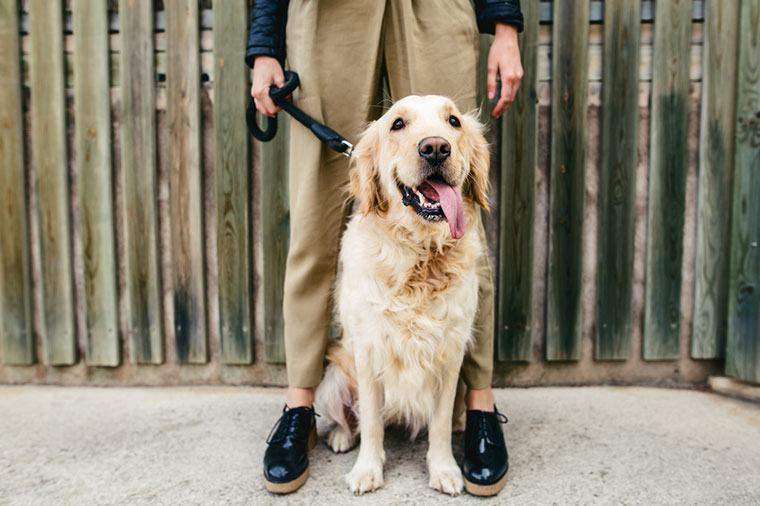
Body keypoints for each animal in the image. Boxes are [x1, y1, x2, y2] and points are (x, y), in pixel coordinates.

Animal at [312, 94, 490, 494]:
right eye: (397, 124)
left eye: (453, 121)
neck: (419, 257)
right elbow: (371, 422)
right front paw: (367, 470)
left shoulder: (450, 353)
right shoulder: (368, 350)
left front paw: (444, 469)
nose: (436, 148)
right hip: (332, 381)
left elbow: (439, 424)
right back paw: (342, 437)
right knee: (347, 418)